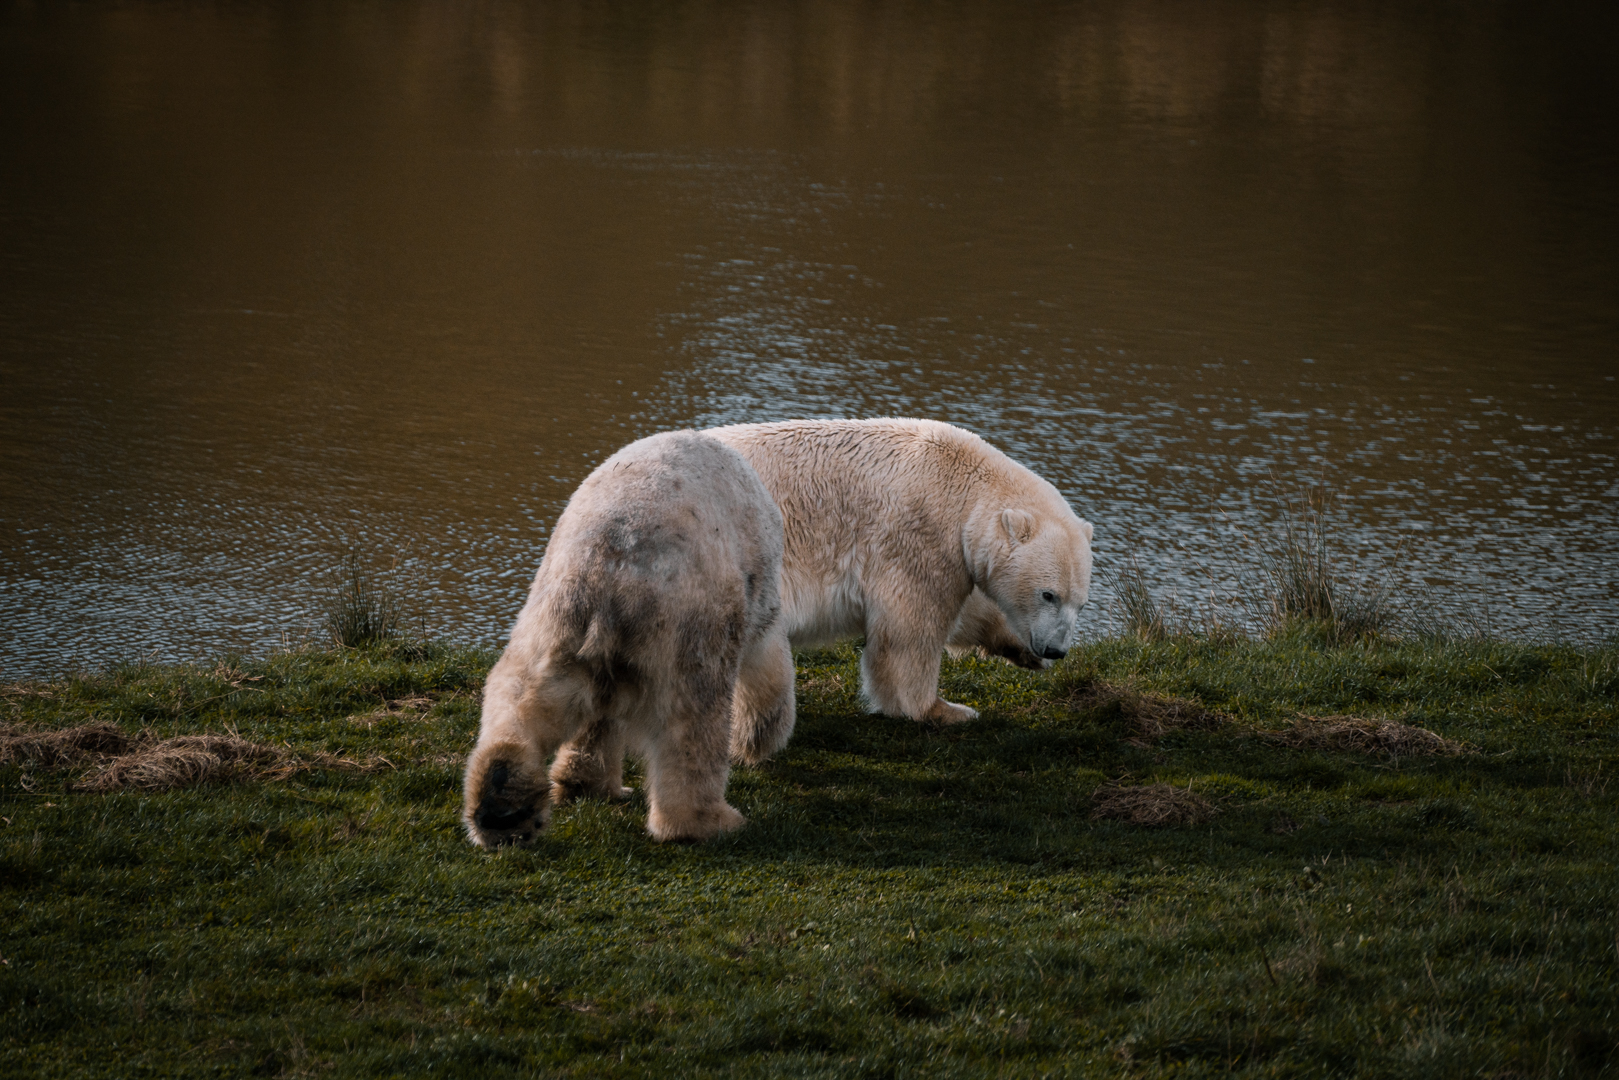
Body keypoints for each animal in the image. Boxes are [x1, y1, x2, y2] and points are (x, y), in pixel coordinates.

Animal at [462, 430, 788, 848]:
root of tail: (613, 565)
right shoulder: (760, 590)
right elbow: (768, 663)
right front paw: (758, 740)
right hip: (688, 620)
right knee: (693, 717)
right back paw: (708, 821)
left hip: (554, 614)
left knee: (524, 693)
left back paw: (507, 805)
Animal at [705, 418, 1094, 725]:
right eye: (1048, 594)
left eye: (1080, 603)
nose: (1056, 650)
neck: (965, 488)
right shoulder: (919, 537)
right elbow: (909, 631)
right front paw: (946, 710)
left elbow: (971, 611)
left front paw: (1021, 650)